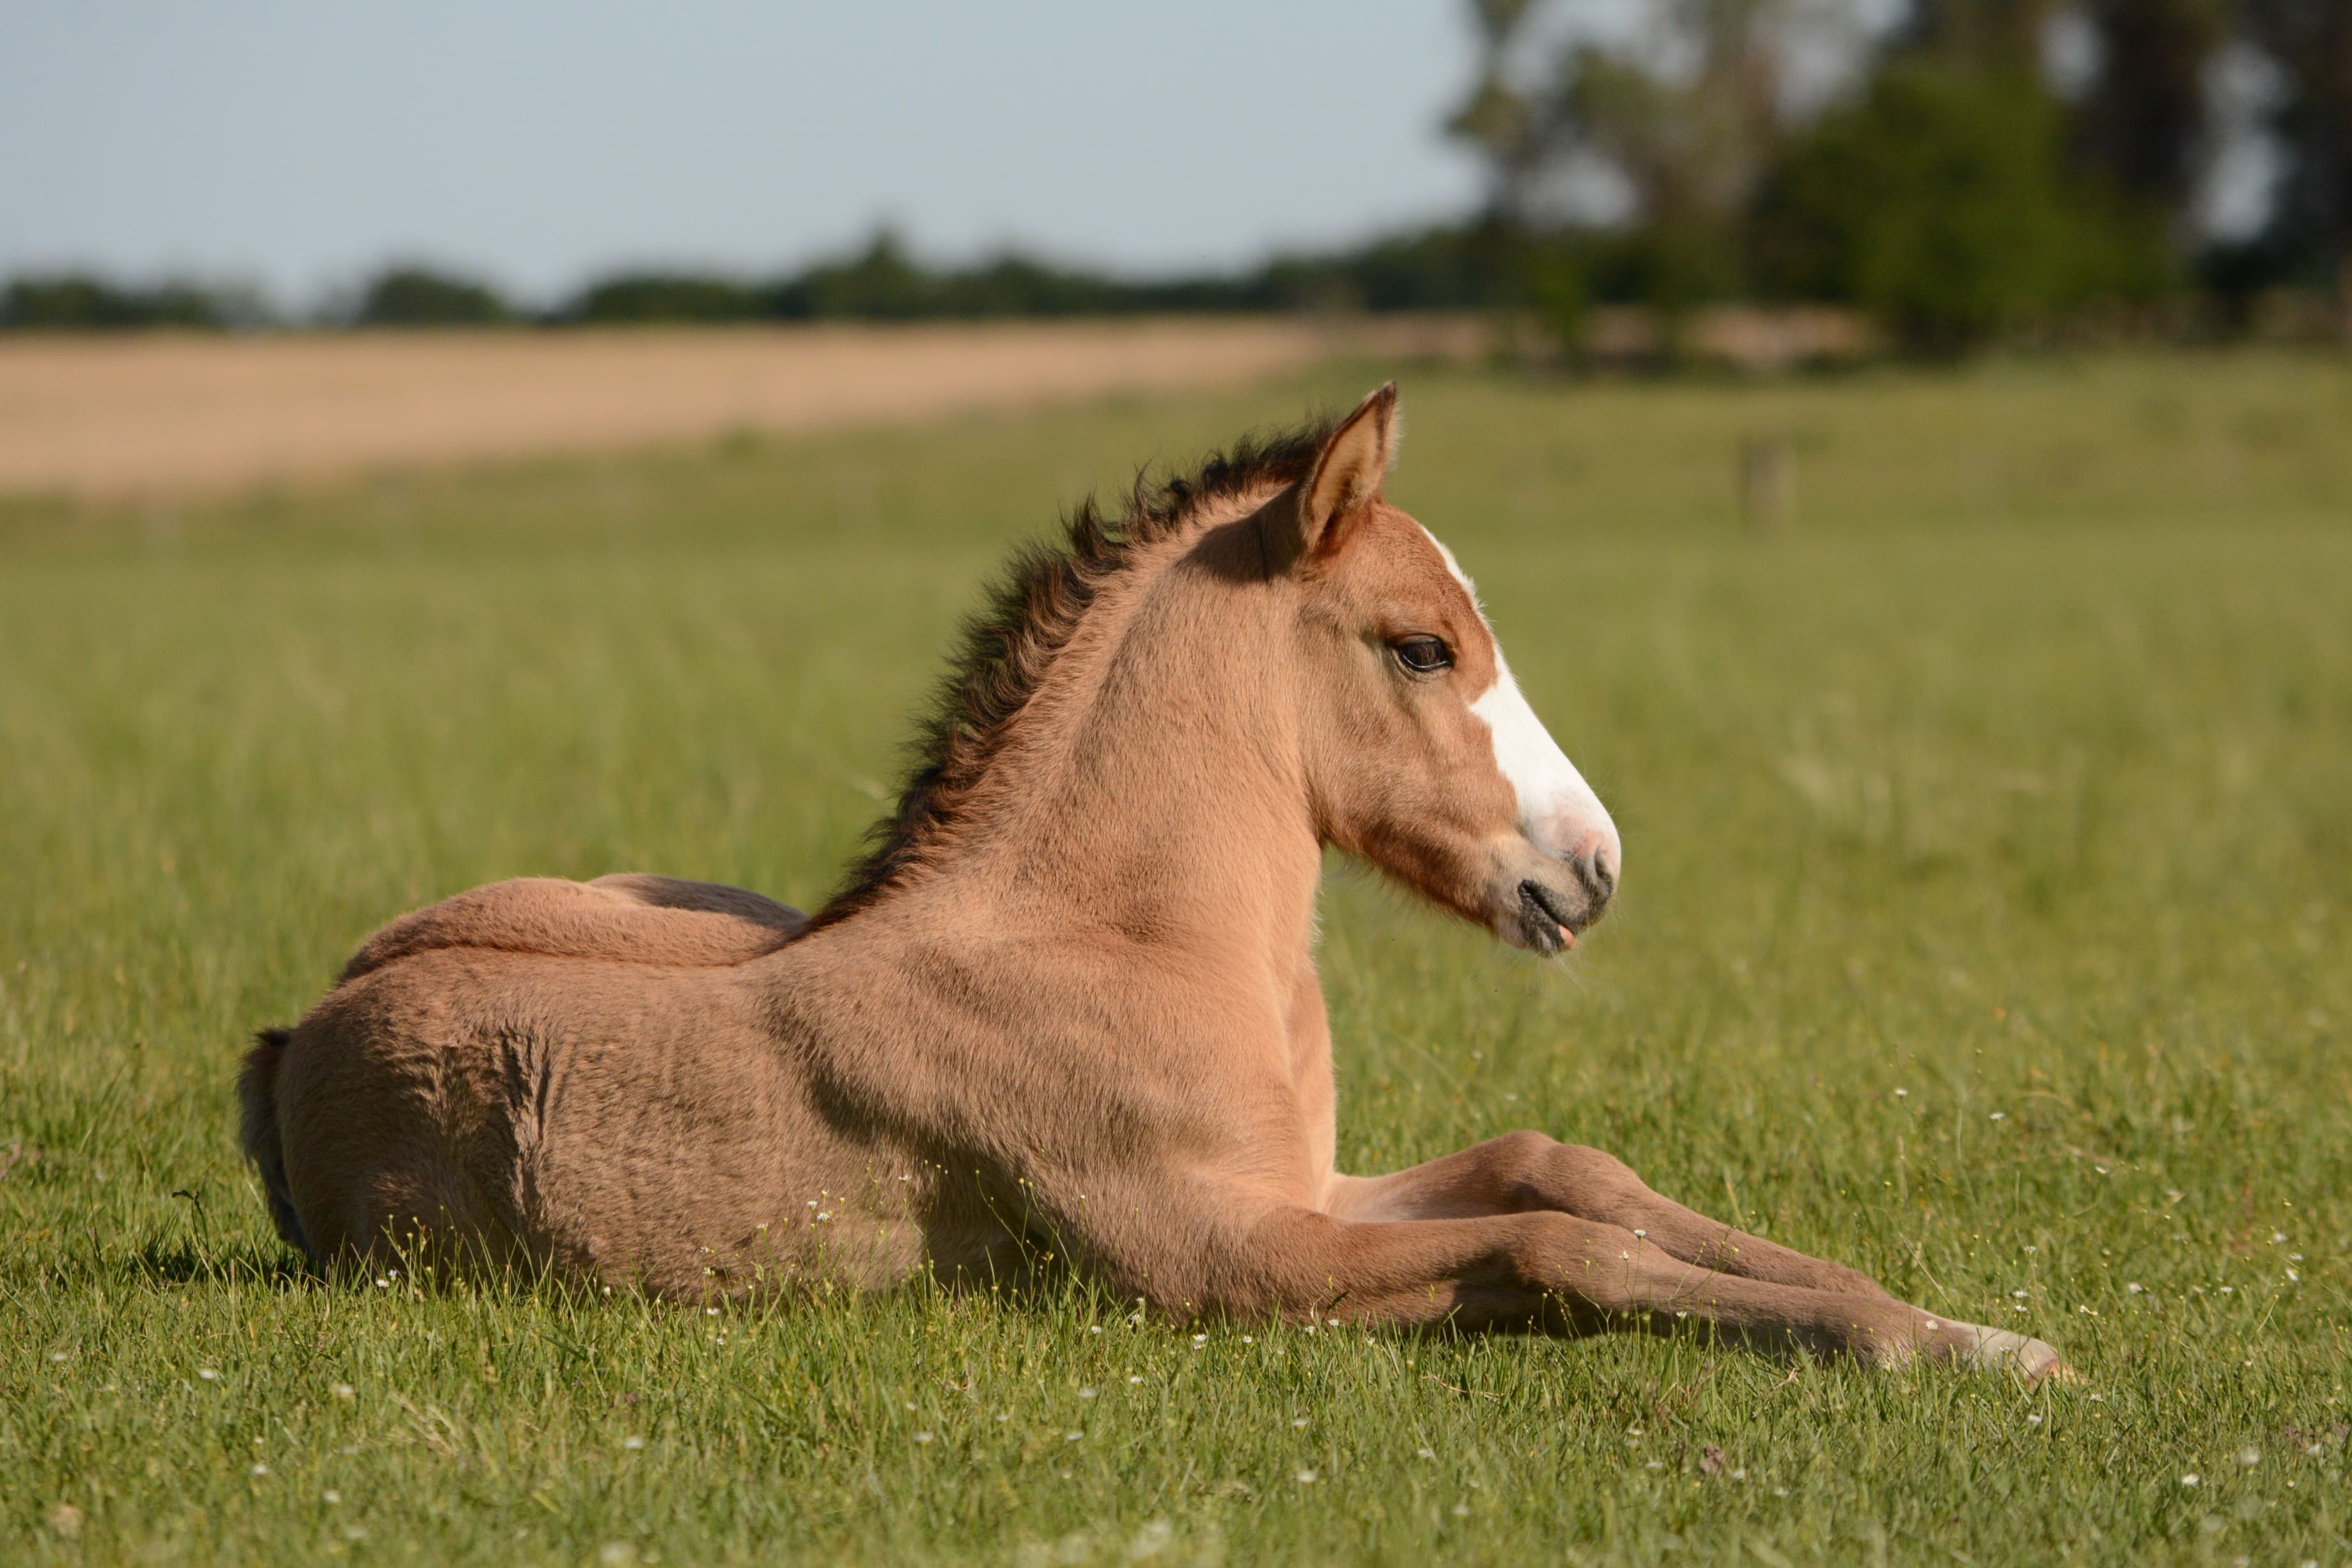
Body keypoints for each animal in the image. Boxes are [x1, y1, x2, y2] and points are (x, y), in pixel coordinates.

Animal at [240, 385, 2068, 1381]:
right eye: (1420, 645)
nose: (1591, 866)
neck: (1122, 943)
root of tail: (293, 1030)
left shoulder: (1308, 1187)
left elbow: (1568, 1168)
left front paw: (1967, 1327)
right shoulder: (1220, 1258)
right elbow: (1561, 1247)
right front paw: (1933, 1346)